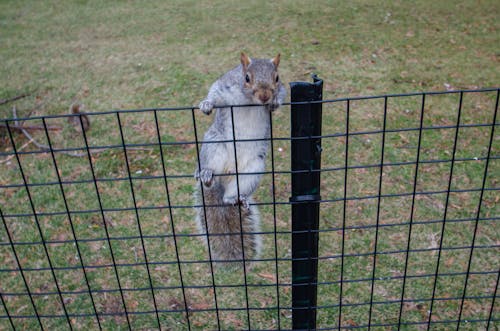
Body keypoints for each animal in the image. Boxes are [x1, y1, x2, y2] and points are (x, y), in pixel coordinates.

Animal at [193, 53, 286, 268]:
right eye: (247, 78)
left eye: (277, 78)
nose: (265, 96)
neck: (250, 100)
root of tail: (226, 174)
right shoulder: (226, 86)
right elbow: (214, 91)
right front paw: (206, 104)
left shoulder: (282, 89)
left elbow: (283, 95)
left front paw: (275, 102)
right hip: (215, 144)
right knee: (208, 171)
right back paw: (206, 174)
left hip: (252, 169)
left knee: (229, 197)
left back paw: (236, 199)